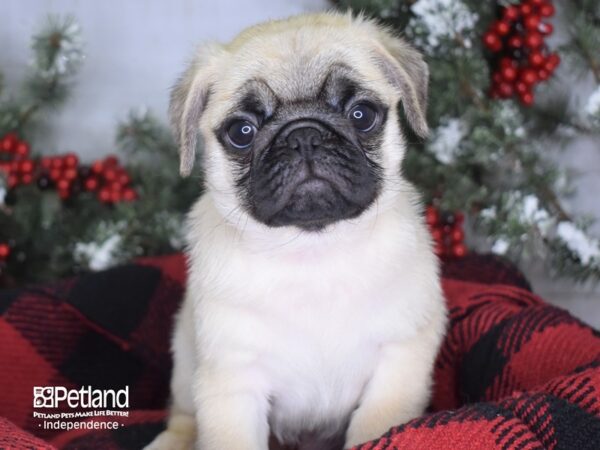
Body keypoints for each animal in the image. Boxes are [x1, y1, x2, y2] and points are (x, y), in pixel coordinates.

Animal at [145, 12, 446, 450]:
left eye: (361, 114)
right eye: (242, 132)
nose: (304, 134)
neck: (312, 252)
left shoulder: (398, 362)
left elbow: (375, 425)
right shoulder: (233, 382)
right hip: (184, 366)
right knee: (183, 418)